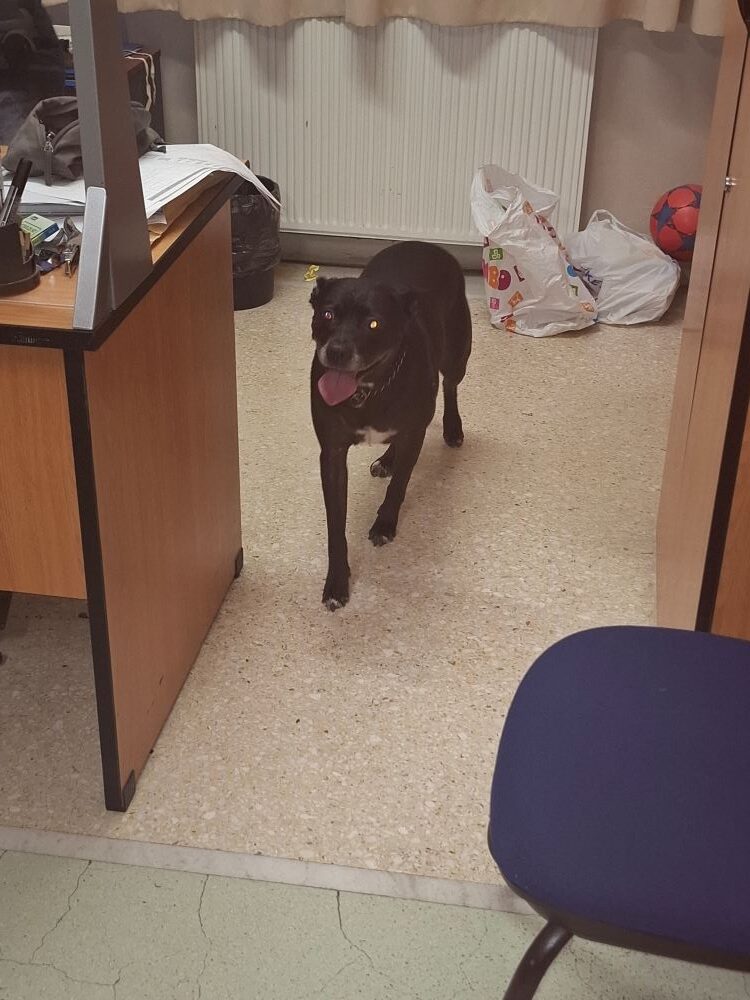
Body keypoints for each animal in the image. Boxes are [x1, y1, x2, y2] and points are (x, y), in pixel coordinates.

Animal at [310, 241, 472, 611]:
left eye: (373, 324)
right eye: (327, 315)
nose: (336, 352)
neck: (369, 390)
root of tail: (427, 245)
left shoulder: (414, 432)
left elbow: (399, 487)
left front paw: (385, 523)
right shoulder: (332, 454)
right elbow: (335, 526)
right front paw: (337, 580)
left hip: (457, 354)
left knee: (450, 386)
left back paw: (452, 428)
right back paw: (387, 458)